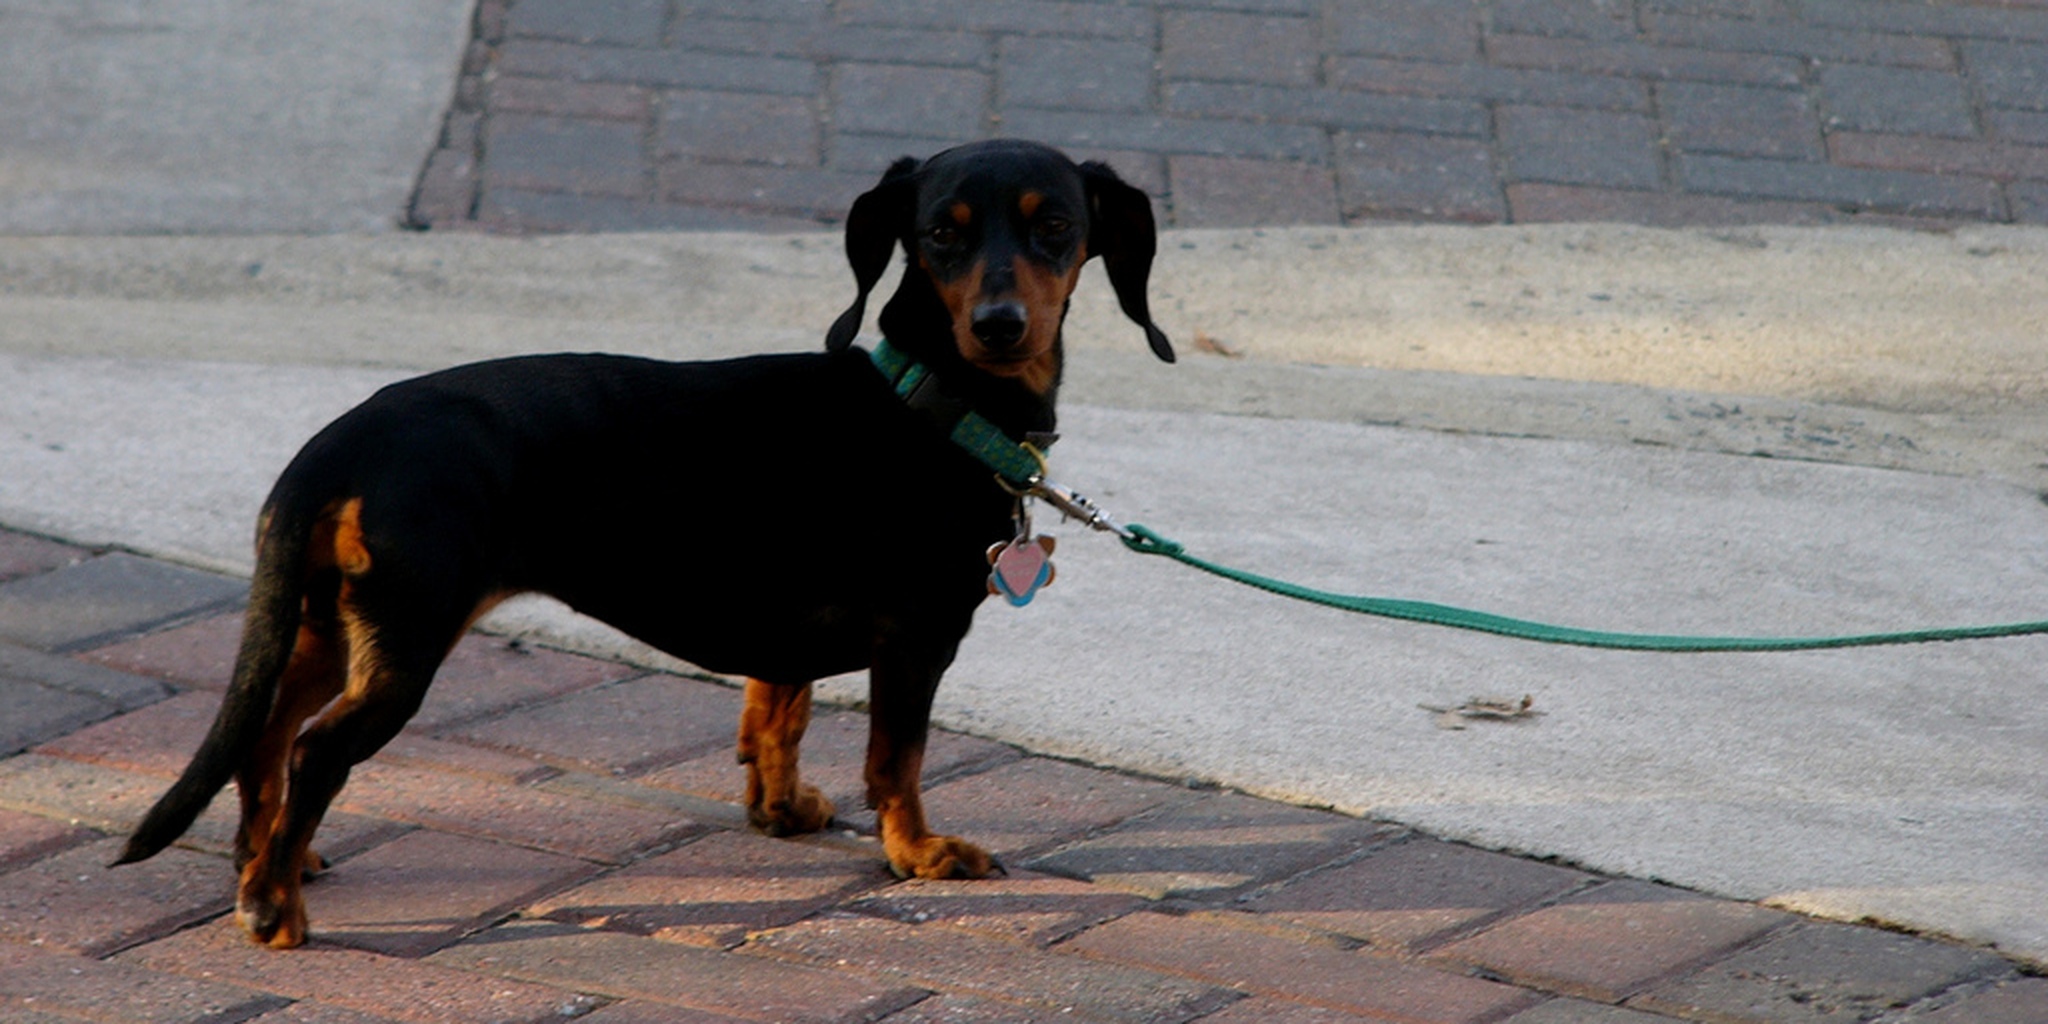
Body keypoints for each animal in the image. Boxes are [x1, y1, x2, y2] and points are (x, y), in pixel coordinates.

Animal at [116, 140, 1171, 946]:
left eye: (1055, 227)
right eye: (940, 233)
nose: (1000, 324)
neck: (932, 402)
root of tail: (339, 443)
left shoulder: (786, 636)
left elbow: (776, 716)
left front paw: (782, 811)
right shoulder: (918, 641)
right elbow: (897, 762)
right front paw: (917, 853)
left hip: (329, 626)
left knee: (265, 736)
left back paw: (265, 862)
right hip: (403, 643)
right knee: (317, 751)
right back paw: (271, 905)